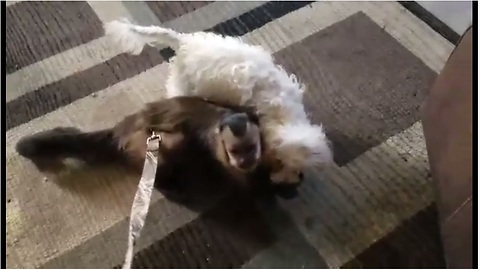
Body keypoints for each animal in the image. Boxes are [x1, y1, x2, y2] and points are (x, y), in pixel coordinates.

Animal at [103, 20, 332, 185]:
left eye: (300, 169)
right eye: (285, 165)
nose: (294, 180)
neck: (282, 113)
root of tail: (185, 42)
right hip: (184, 87)